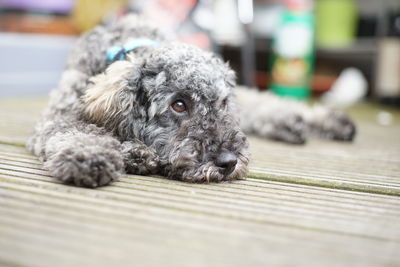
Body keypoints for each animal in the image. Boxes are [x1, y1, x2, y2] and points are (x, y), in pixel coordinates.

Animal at [26, 13, 354, 187]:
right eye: (179, 105)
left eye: (222, 104)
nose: (228, 162)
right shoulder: (59, 114)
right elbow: (75, 130)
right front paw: (92, 156)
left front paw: (134, 153)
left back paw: (321, 121)